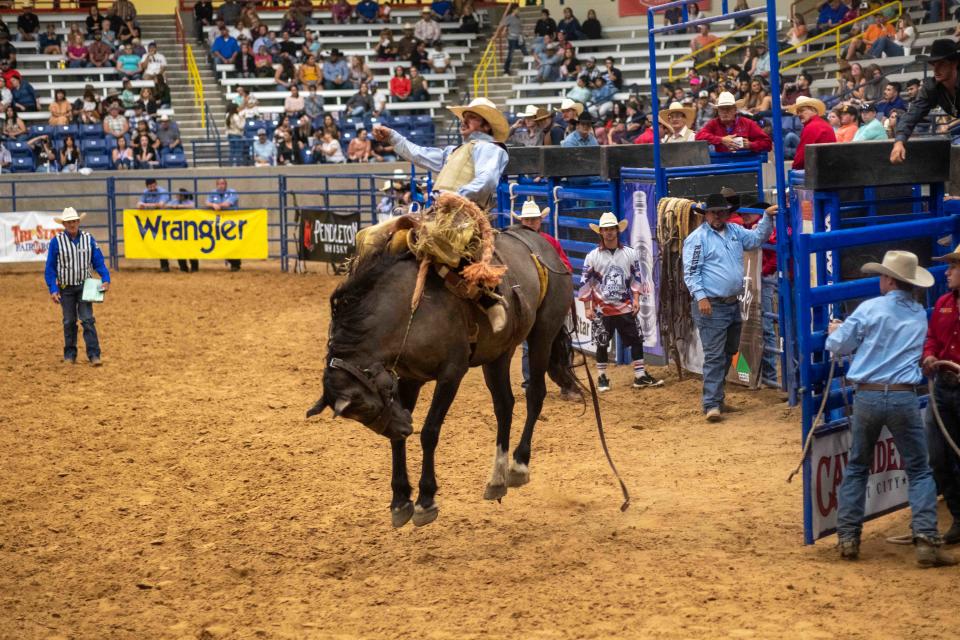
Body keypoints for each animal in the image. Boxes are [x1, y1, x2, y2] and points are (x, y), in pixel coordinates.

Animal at [308, 192, 576, 528]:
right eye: (359, 416)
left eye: (365, 408)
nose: (402, 428)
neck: (407, 309)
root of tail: (543, 243)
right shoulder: (409, 378)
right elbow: (399, 441)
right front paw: (400, 500)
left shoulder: (451, 374)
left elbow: (430, 431)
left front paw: (425, 500)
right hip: (498, 353)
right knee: (504, 405)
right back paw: (496, 479)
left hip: (543, 334)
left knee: (535, 394)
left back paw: (518, 466)